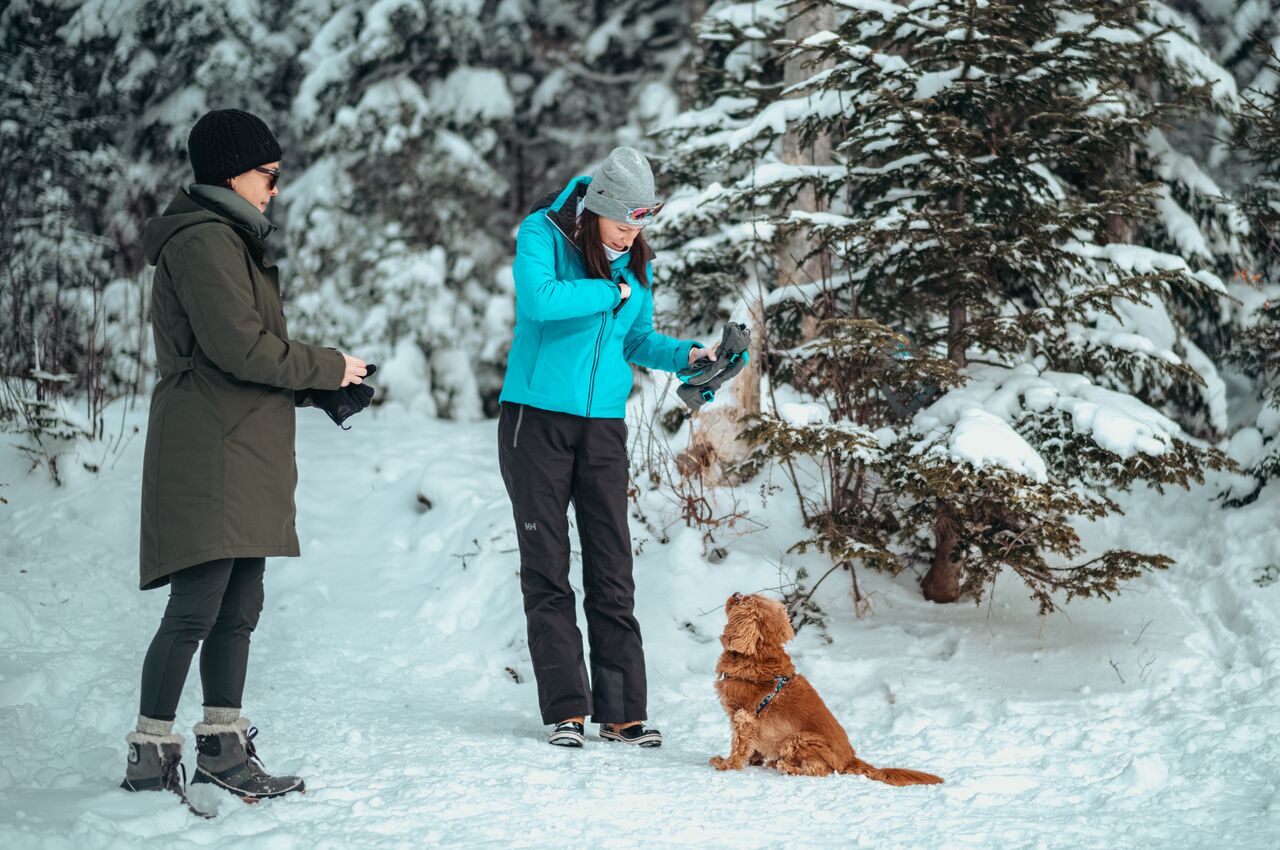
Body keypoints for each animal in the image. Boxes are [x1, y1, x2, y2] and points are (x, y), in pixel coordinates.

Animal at [711, 591, 942, 783]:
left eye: (743, 600)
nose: (735, 593)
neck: (758, 656)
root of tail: (850, 759)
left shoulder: (744, 717)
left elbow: (739, 747)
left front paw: (726, 765)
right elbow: (752, 749)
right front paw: (754, 761)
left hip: (797, 739)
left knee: (820, 770)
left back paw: (785, 765)